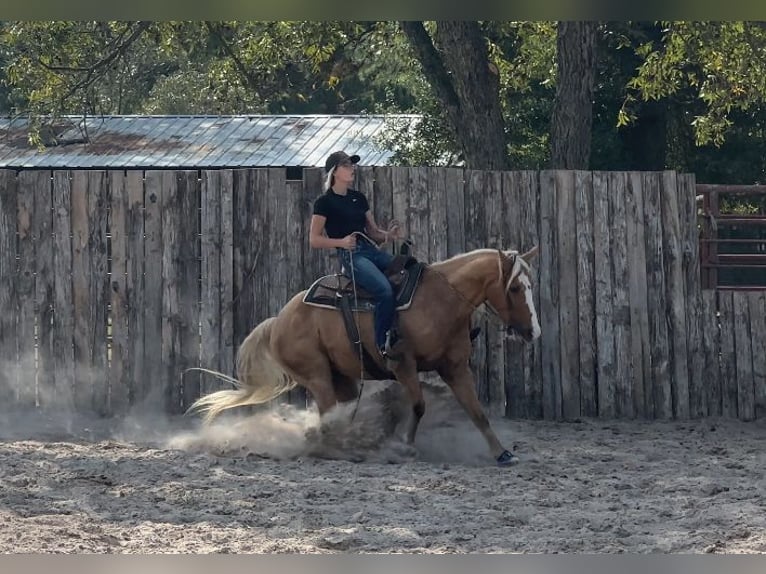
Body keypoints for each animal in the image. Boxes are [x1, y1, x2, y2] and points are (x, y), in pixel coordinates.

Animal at [189, 246, 541, 466]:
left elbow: (476, 412)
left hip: (342, 377)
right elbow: (418, 405)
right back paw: (341, 450)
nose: (533, 331)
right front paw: (405, 446)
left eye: (530, 285)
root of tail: (278, 321)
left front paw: (502, 454)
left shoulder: (454, 368)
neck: (440, 299)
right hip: (317, 376)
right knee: (327, 417)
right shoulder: (403, 365)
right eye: (514, 288)